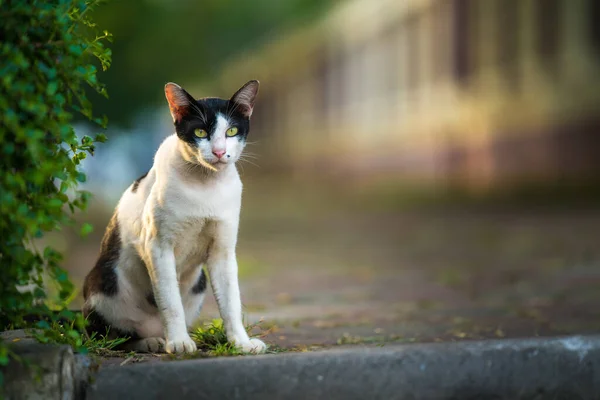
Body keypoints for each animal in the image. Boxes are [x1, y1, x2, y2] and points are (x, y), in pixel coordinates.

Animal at [82, 80, 268, 354]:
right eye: (200, 132)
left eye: (232, 130)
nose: (219, 152)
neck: (205, 186)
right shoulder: (158, 247)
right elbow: (170, 302)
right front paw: (179, 342)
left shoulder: (222, 250)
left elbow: (231, 302)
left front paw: (241, 343)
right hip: (102, 285)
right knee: (112, 336)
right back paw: (152, 342)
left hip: (199, 282)